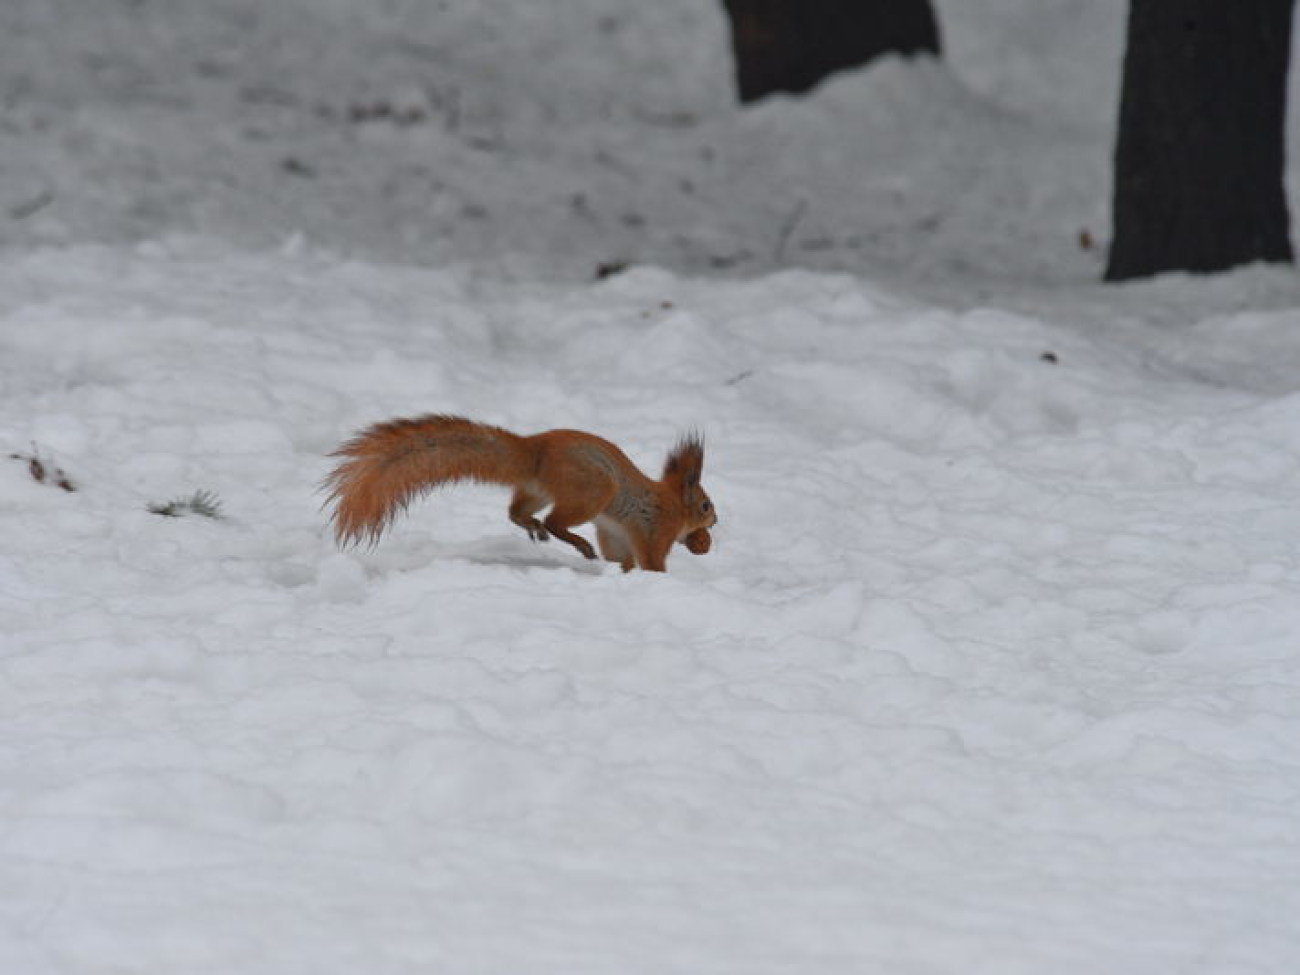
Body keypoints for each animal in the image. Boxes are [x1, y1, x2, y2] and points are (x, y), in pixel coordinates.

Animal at [321, 413, 717, 572]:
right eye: (705, 505)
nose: (715, 520)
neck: (671, 502)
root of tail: (535, 450)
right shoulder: (655, 530)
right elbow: (652, 561)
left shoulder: (617, 534)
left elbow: (622, 558)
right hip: (593, 490)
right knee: (556, 520)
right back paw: (575, 542)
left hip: (537, 489)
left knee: (516, 512)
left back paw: (533, 527)